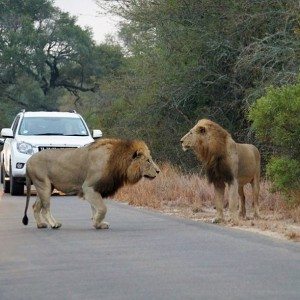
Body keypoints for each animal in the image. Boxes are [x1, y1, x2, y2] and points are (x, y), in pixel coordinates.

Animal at [22, 139, 161, 230]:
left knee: (35, 206)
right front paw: (97, 224)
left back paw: (40, 225)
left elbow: (95, 209)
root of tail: (28, 161)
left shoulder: (96, 189)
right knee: (46, 208)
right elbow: (103, 208)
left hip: (46, 187)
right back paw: (54, 224)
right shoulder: (88, 187)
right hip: (43, 185)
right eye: (148, 161)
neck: (117, 161)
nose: (159, 171)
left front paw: (98, 223)